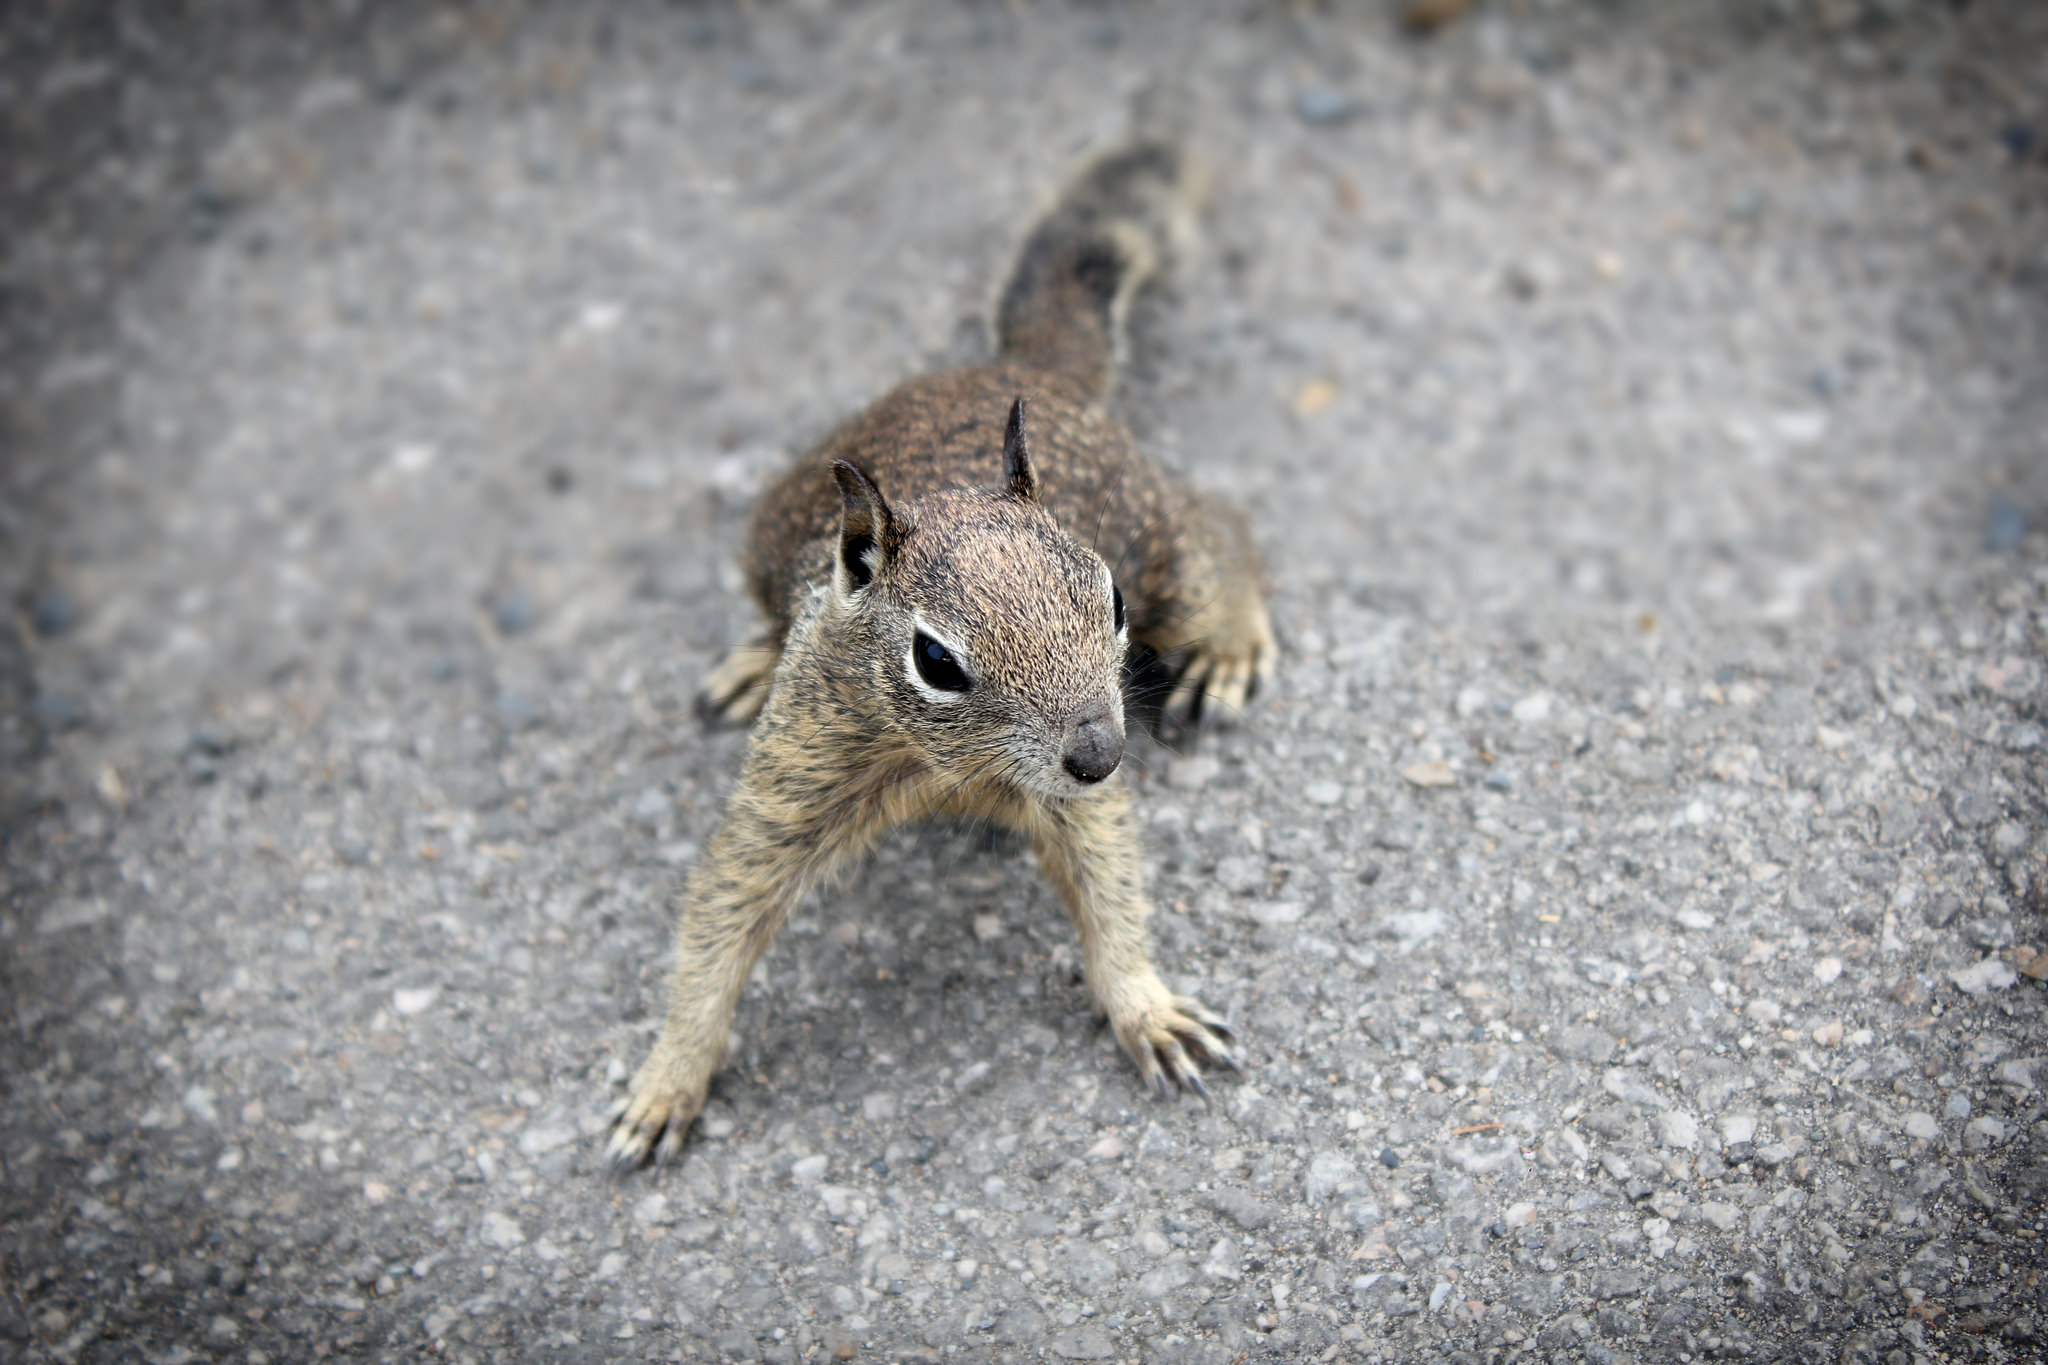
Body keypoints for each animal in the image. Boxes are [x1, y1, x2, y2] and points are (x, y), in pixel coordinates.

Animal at [606, 141, 1277, 1178]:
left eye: (1113, 601)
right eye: (935, 659)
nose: (1101, 753)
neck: (945, 765)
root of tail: (1027, 367)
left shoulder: (1078, 795)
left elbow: (1109, 878)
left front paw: (1147, 1006)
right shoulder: (794, 775)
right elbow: (724, 907)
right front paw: (666, 1079)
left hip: (1167, 539)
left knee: (1223, 532)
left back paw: (1232, 649)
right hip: (764, 530)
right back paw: (751, 657)